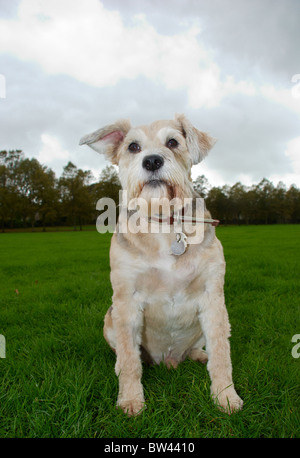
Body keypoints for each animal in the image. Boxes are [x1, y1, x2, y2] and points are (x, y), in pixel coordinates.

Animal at [80, 113, 244, 416]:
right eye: (133, 146)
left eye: (173, 142)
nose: (153, 161)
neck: (164, 226)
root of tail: (169, 360)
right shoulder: (126, 300)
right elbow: (130, 361)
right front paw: (131, 400)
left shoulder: (213, 298)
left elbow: (221, 354)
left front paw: (225, 395)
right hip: (110, 319)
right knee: (125, 354)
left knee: (200, 349)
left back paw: (197, 354)